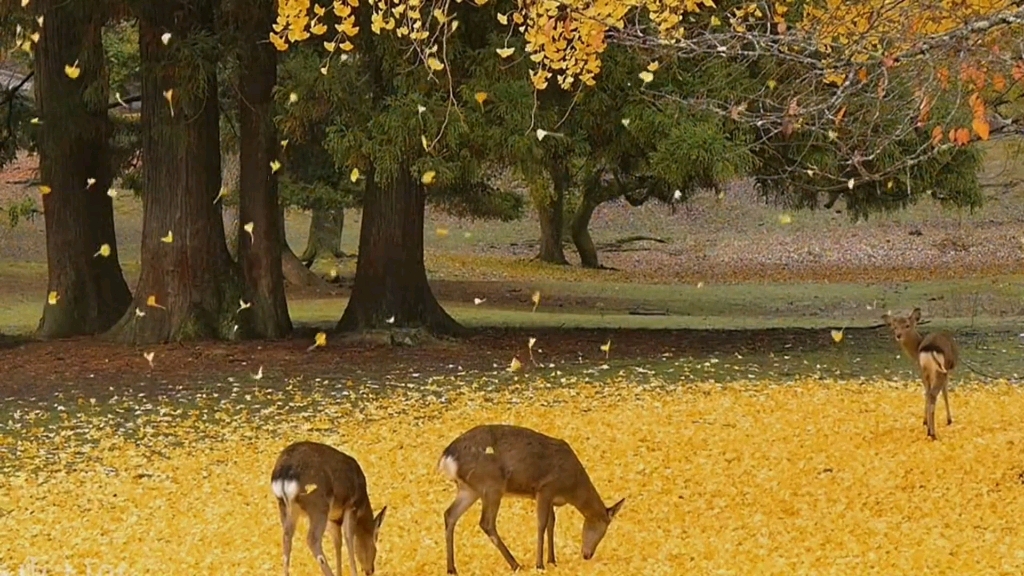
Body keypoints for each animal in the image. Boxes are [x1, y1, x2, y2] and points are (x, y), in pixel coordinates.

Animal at [270, 440, 385, 573]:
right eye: (375, 543)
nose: (370, 570)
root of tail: (284, 473)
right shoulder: (352, 506)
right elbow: (348, 538)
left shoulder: (333, 518)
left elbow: (337, 542)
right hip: (318, 505)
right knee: (312, 539)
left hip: (285, 507)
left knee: (286, 537)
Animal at [438, 420, 622, 569]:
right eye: (601, 528)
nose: (587, 555)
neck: (572, 488)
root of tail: (447, 457)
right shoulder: (545, 488)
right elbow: (541, 524)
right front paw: (540, 564)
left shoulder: (550, 497)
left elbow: (551, 523)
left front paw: (552, 560)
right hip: (491, 485)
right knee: (486, 522)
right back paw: (515, 564)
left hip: (469, 489)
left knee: (450, 514)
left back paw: (452, 568)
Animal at [880, 307, 958, 436]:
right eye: (894, 326)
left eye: (907, 325)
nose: (898, 335)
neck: (916, 349)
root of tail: (929, 348)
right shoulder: (947, 370)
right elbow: (945, 393)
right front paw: (949, 420)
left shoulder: (921, 371)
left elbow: (926, 392)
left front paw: (925, 422)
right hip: (940, 371)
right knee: (933, 394)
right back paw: (933, 433)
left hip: (927, 370)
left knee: (928, 393)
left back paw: (929, 430)